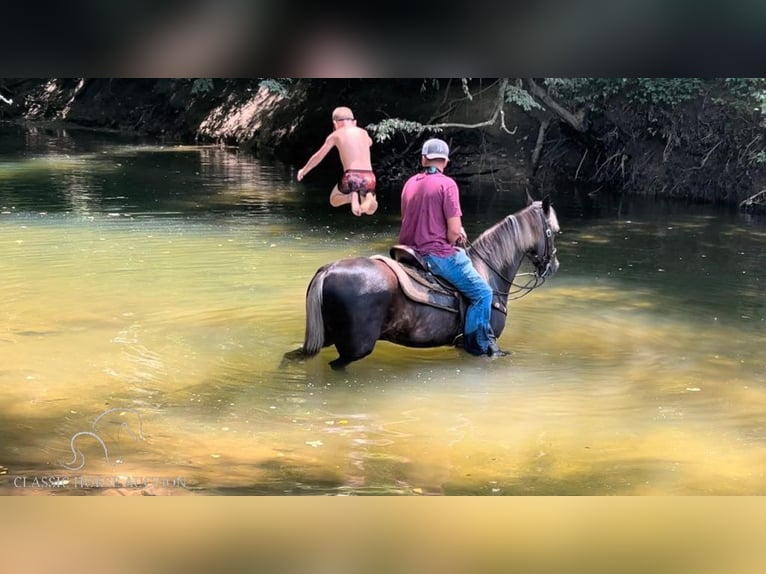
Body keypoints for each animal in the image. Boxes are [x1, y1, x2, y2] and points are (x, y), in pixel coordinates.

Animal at [284, 196, 560, 372]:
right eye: (554, 231)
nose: (554, 265)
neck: (489, 270)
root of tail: (328, 270)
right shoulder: (484, 346)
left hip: (324, 336)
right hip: (355, 347)